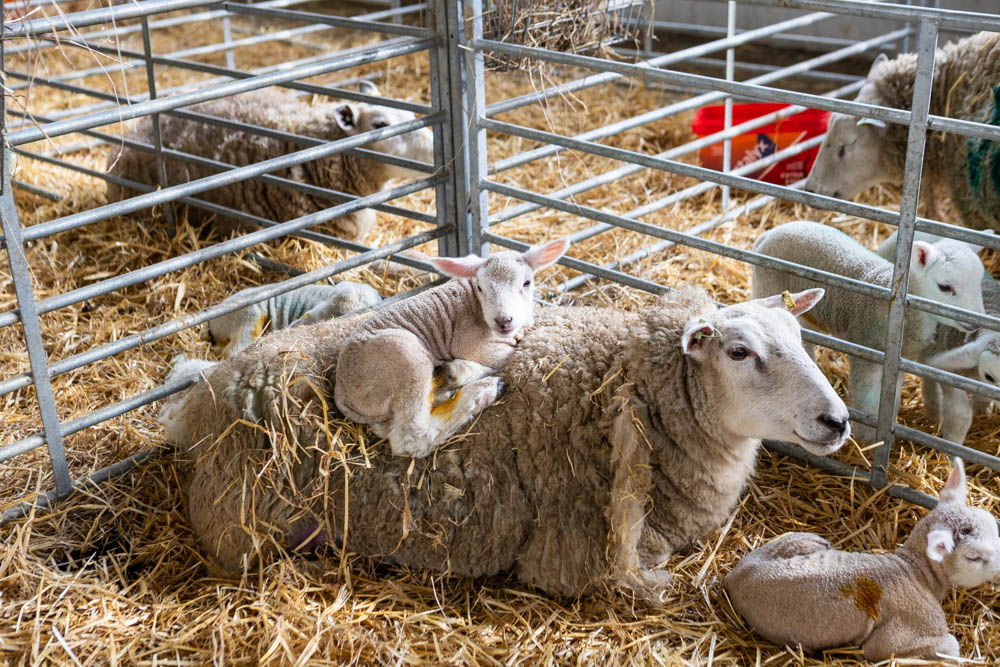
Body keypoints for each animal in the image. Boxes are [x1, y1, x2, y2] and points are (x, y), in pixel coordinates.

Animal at [333, 238, 571, 459]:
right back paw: (481, 390)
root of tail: (341, 392)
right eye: (481, 287)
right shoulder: (474, 344)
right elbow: (504, 357)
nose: (503, 321)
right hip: (404, 358)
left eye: (527, 283)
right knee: (411, 436)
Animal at [724, 458, 1000, 661]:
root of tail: (734, 577)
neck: (915, 571)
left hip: (802, 541)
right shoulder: (900, 636)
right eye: (974, 557)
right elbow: (950, 646)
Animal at [751, 220, 985, 442]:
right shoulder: (867, 350)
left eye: (980, 283)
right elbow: (868, 401)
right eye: (945, 287)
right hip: (767, 287)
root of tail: (769, 233)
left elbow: (892, 399)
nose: (975, 322)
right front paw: (868, 438)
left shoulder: (899, 362)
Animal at [877, 230, 1000, 442]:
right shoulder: (949, 372)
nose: (975, 322)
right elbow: (960, 414)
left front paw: (982, 409)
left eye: (979, 282)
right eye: (945, 287)